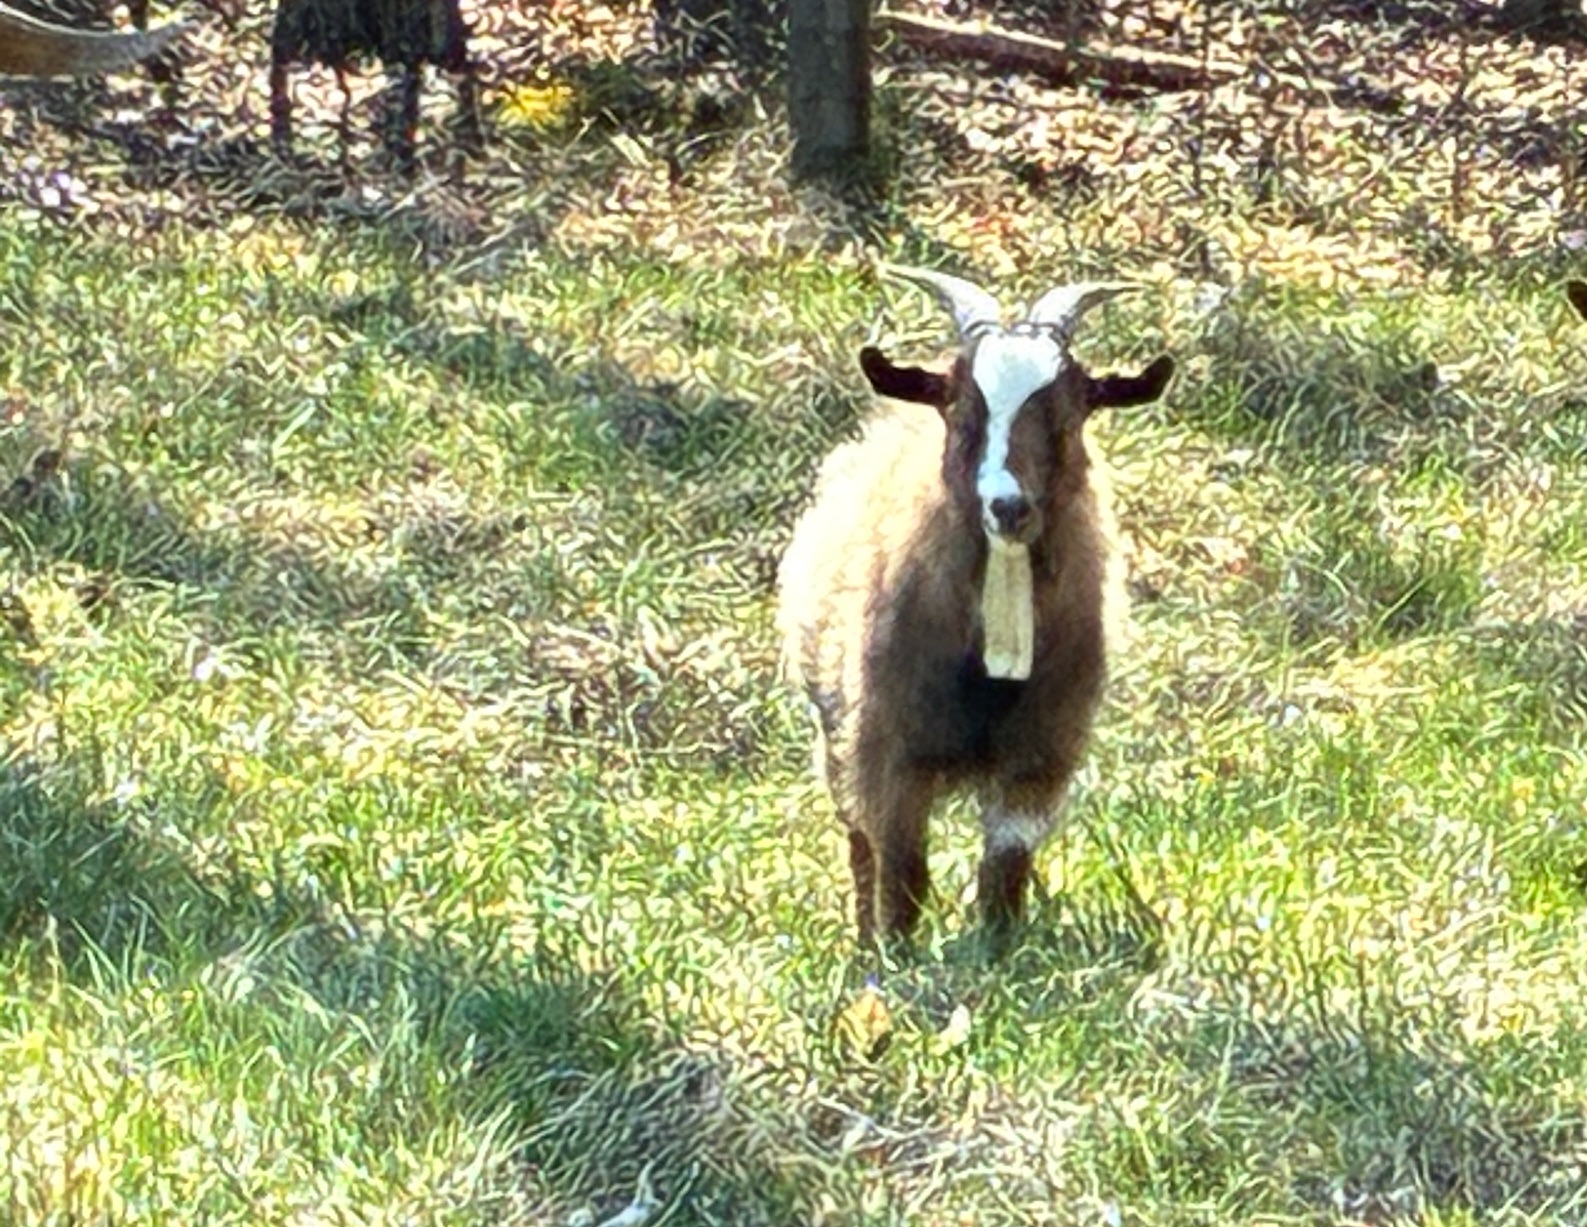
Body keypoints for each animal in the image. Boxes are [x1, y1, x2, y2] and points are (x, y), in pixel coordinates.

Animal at [777, 266, 1174, 945]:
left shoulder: (1039, 754)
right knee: (859, 845)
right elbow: (901, 868)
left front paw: (998, 950)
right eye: (959, 408)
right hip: (834, 725)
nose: (1007, 506)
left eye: (1072, 413)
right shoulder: (888, 743)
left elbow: (1004, 870)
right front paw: (894, 956)